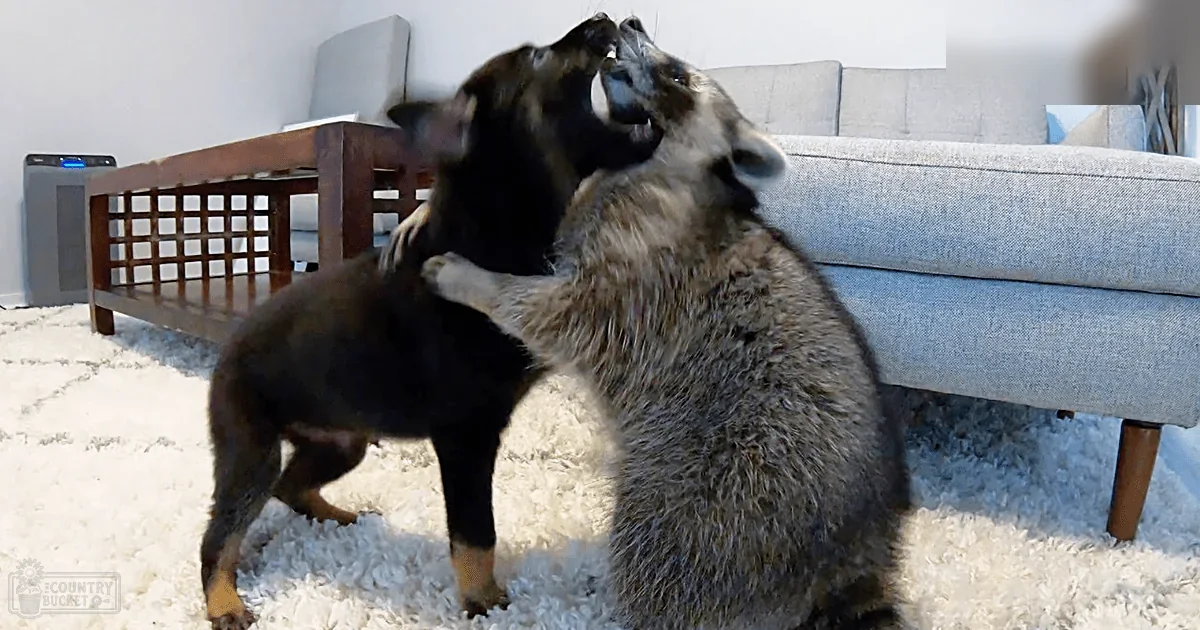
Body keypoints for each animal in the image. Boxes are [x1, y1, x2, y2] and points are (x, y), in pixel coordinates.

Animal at [199, 14, 660, 629]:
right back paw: (224, 600)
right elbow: (474, 531)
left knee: (291, 487)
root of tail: (227, 349)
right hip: (251, 448)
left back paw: (333, 517)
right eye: (537, 56)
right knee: (221, 533)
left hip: (341, 440)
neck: (492, 221)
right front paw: (483, 600)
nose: (608, 19)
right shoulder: (466, 437)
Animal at [412, 16, 914, 630]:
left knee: (655, 563)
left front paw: (476, 281)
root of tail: (849, 566)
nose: (630, 21)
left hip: (707, 505)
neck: (661, 159)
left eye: (676, 74)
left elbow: (555, 311)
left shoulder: (639, 271)